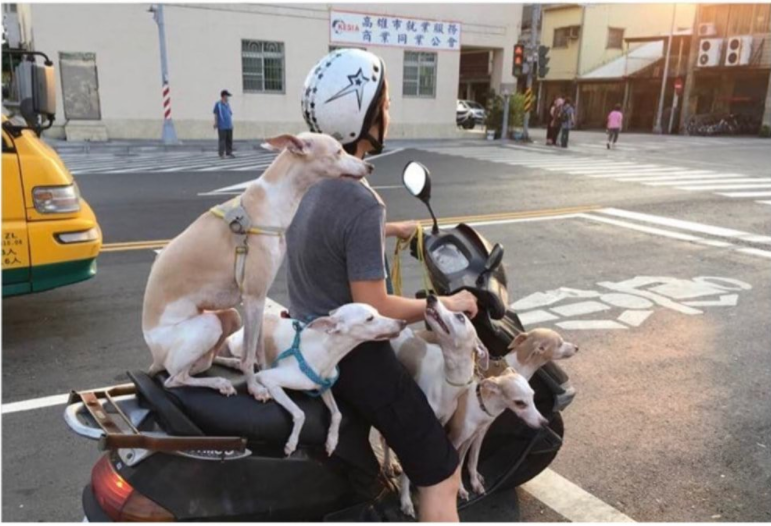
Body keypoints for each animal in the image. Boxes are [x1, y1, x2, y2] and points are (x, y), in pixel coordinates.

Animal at [146, 133, 376, 400]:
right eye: (338, 152)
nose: (370, 167)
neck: (269, 205)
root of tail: (154, 358)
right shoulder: (253, 296)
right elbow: (249, 354)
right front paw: (255, 387)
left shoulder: (257, 298)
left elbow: (257, 350)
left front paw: (261, 375)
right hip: (207, 326)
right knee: (175, 379)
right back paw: (219, 382)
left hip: (230, 317)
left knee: (201, 364)